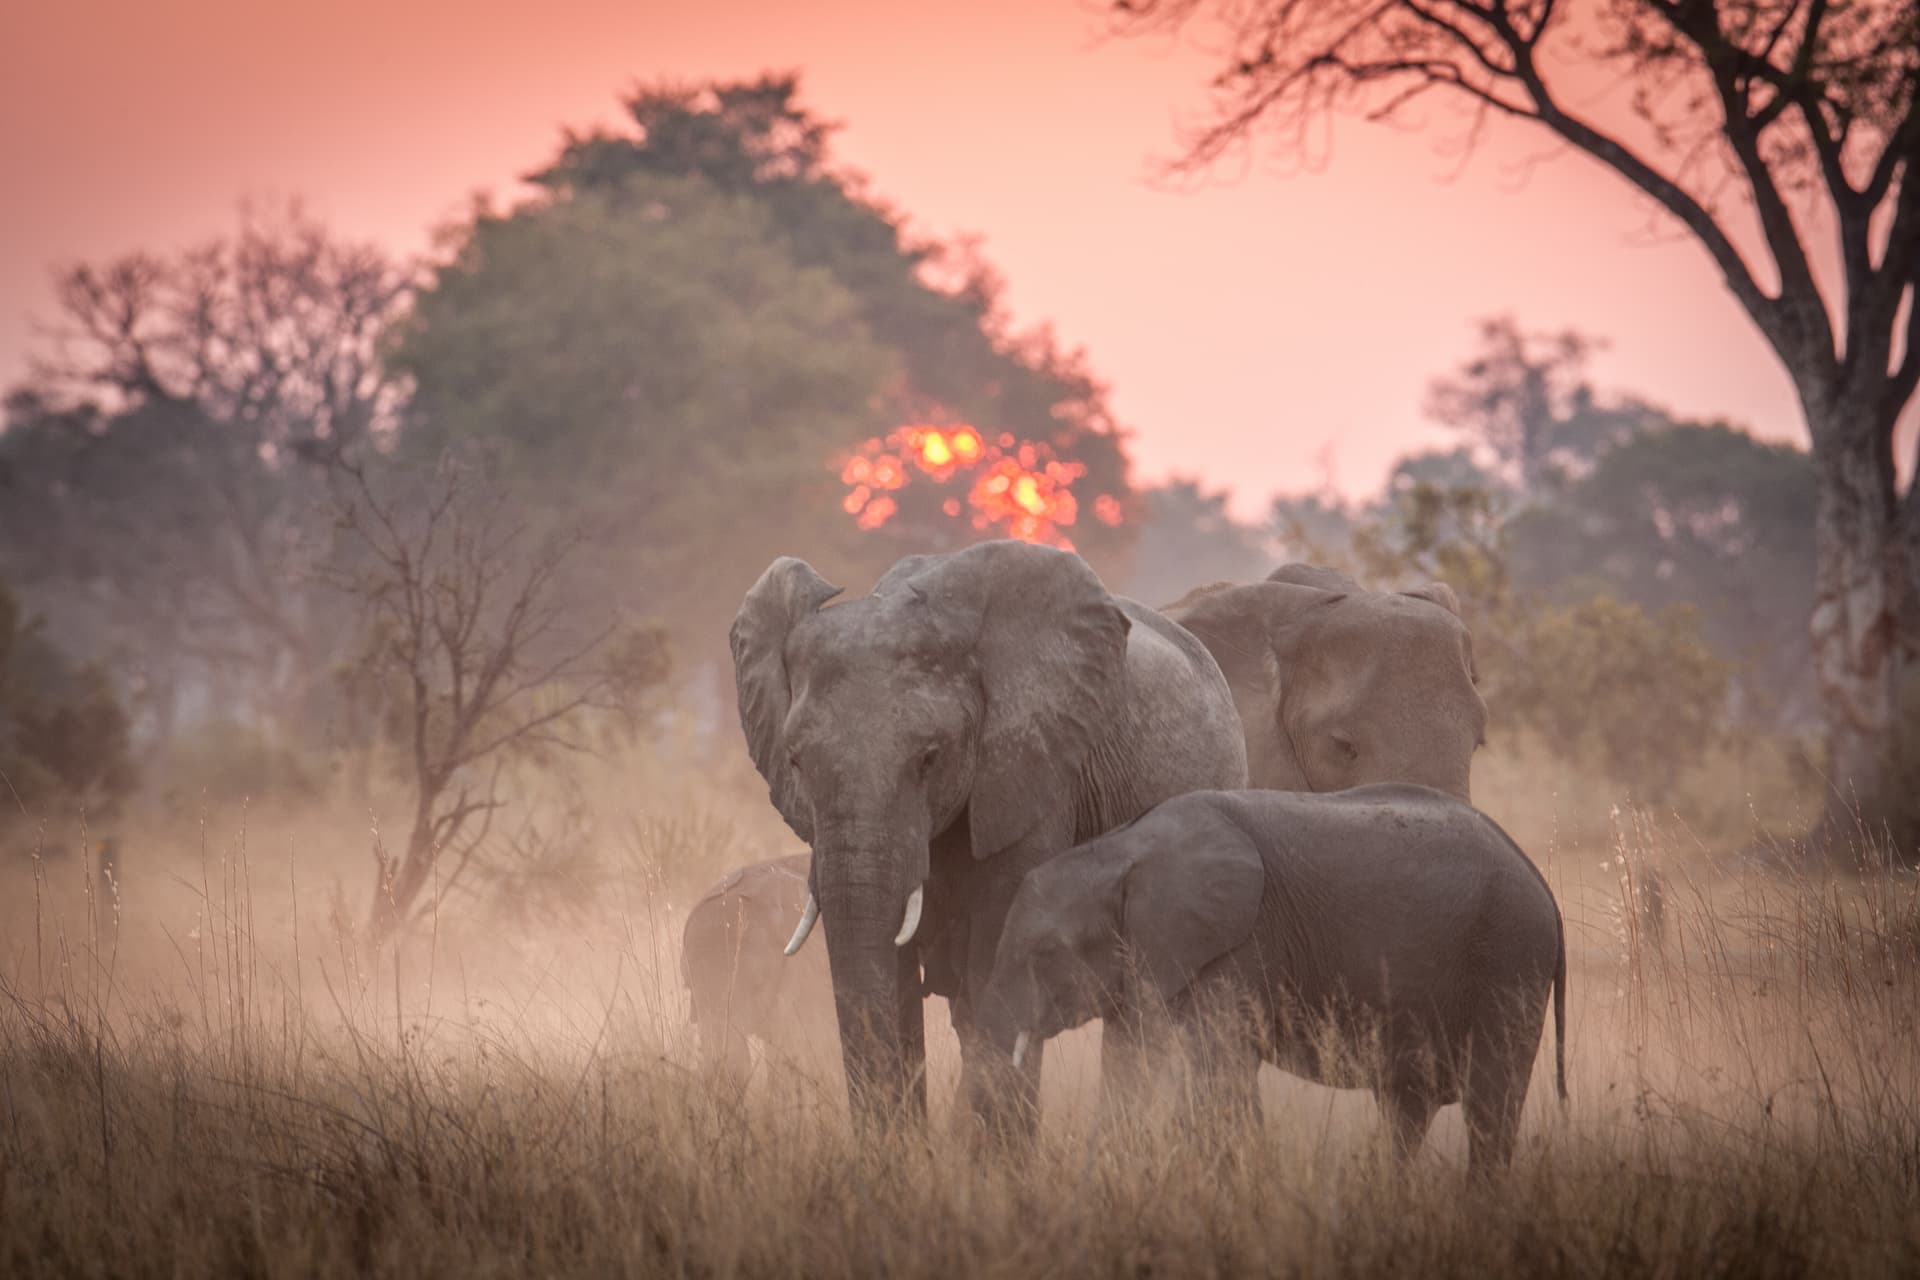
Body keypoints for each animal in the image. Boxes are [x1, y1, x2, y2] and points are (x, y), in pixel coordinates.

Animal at [977, 785, 1566, 1170]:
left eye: (1045, 952)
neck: (1121, 850)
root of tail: (1541, 884)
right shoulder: (1151, 962)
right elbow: (1131, 1065)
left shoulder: (1236, 946)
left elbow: (1221, 1072)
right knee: (1407, 1108)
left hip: (1509, 958)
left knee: (1488, 1109)